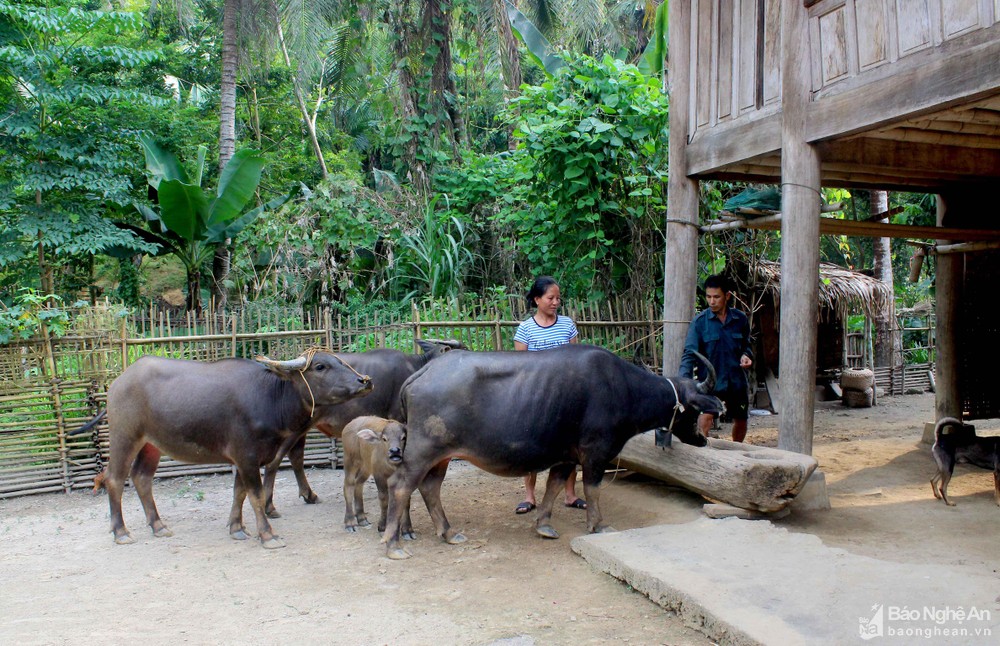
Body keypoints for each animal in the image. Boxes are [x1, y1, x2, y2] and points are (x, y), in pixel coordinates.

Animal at [99, 352, 372, 548]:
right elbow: (256, 496)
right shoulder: (247, 457)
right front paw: (268, 535)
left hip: (151, 444)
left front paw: (237, 528)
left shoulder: (243, 459)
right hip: (124, 437)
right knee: (114, 479)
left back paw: (158, 526)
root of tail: (118, 382)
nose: (364, 381)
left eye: (340, 362)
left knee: (142, 478)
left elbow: (239, 493)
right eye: (320, 366)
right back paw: (121, 531)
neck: (270, 396)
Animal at [258, 340, 460, 516]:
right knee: (275, 461)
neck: (415, 366)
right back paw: (269, 506)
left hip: (301, 427)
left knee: (296, 457)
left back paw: (309, 495)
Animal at [380, 344, 720, 560]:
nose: (703, 439)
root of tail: (423, 372)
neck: (624, 388)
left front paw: (543, 524)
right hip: (423, 450)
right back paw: (393, 543)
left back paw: (448, 532)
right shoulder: (596, 453)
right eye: (695, 409)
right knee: (401, 485)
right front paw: (598, 525)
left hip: (442, 456)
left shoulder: (567, 456)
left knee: (429, 488)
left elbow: (554, 486)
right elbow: (592, 489)